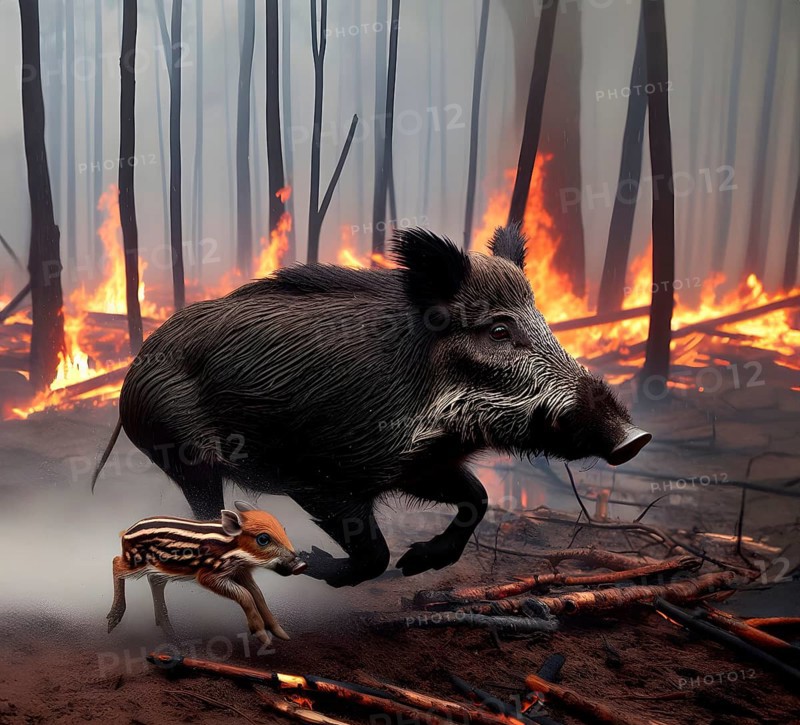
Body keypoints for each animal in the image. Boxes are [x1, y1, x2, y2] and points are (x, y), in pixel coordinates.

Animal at [92, 225, 651, 587]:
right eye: (498, 330)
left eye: (545, 320)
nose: (635, 437)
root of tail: (135, 367)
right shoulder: (323, 476)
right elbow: (374, 552)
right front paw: (318, 563)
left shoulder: (421, 465)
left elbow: (478, 498)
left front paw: (417, 564)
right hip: (184, 450)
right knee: (206, 509)